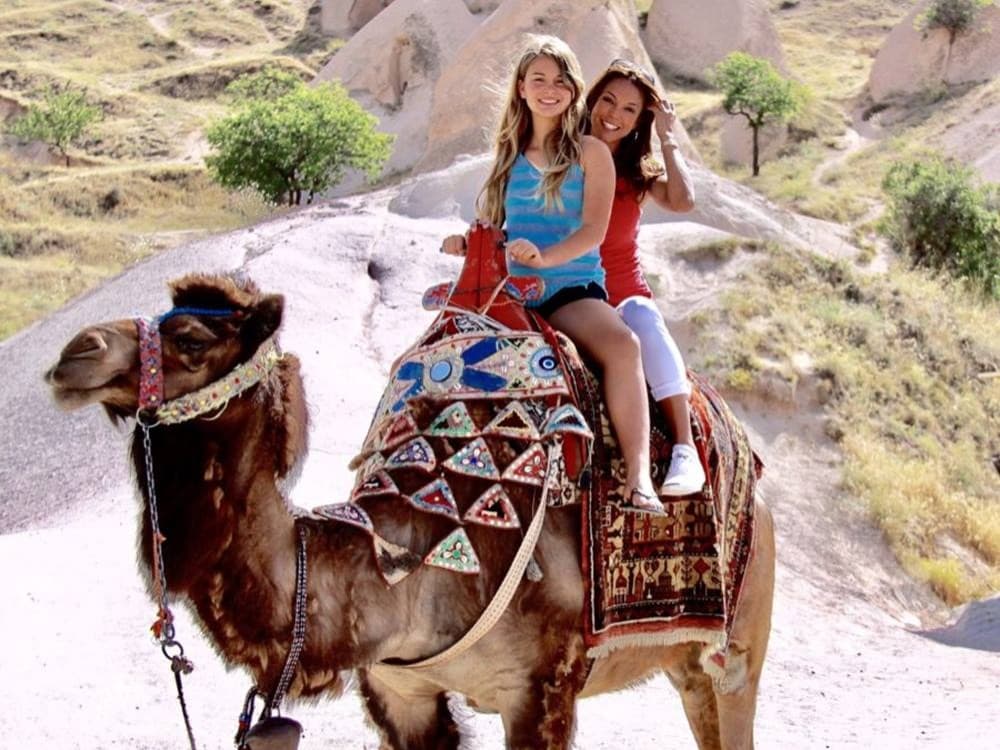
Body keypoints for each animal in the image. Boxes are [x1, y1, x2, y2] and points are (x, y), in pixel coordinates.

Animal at [45, 229, 774, 750]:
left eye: (192, 338)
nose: (74, 352)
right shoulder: (400, 693)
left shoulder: (542, 689)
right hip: (685, 665)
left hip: (738, 648)